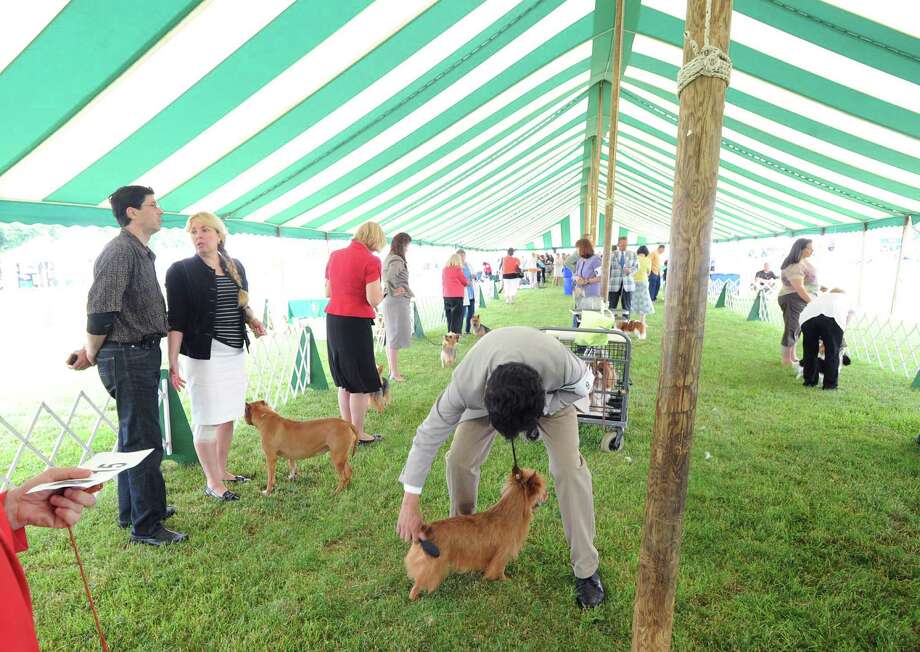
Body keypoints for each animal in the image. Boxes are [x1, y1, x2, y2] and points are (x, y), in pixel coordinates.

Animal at [402, 468, 548, 600]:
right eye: (542, 490)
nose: (547, 494)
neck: (509, 513)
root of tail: (427, 529)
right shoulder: (502, 555)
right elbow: (499, 569)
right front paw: (505, 580)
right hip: (432, 565)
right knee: (418, 583)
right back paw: (414, 597)